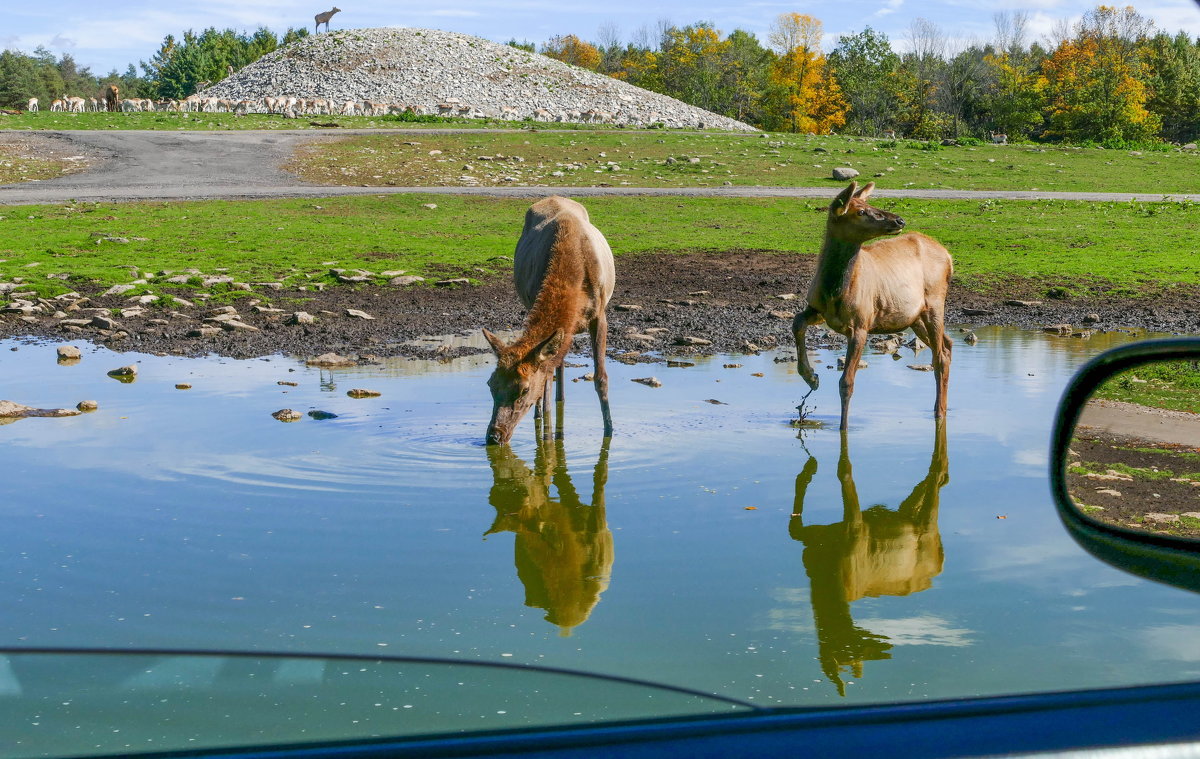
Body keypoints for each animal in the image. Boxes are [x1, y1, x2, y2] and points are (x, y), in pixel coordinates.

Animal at [484, 195, 619, 444]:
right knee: (557, 365)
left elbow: (601, 378)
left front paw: (609, 430)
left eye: (524, 389)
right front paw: (546, 435)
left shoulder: (600, 314)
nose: (494, 436)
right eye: (490, 384)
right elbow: (546, 380)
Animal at [792, 178, 950, 427]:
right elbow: (797, 322)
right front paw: (811, 377)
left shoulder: (861, 324)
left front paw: (843, 427)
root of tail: (949, 257)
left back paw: (940, 413)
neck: (834, 291)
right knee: (948, 346)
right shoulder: (816, 308)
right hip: (915, 317)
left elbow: (846, 382)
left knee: (940, 356)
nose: (899, 220)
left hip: (935, 303)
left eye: (869, 205)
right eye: (861, 211)